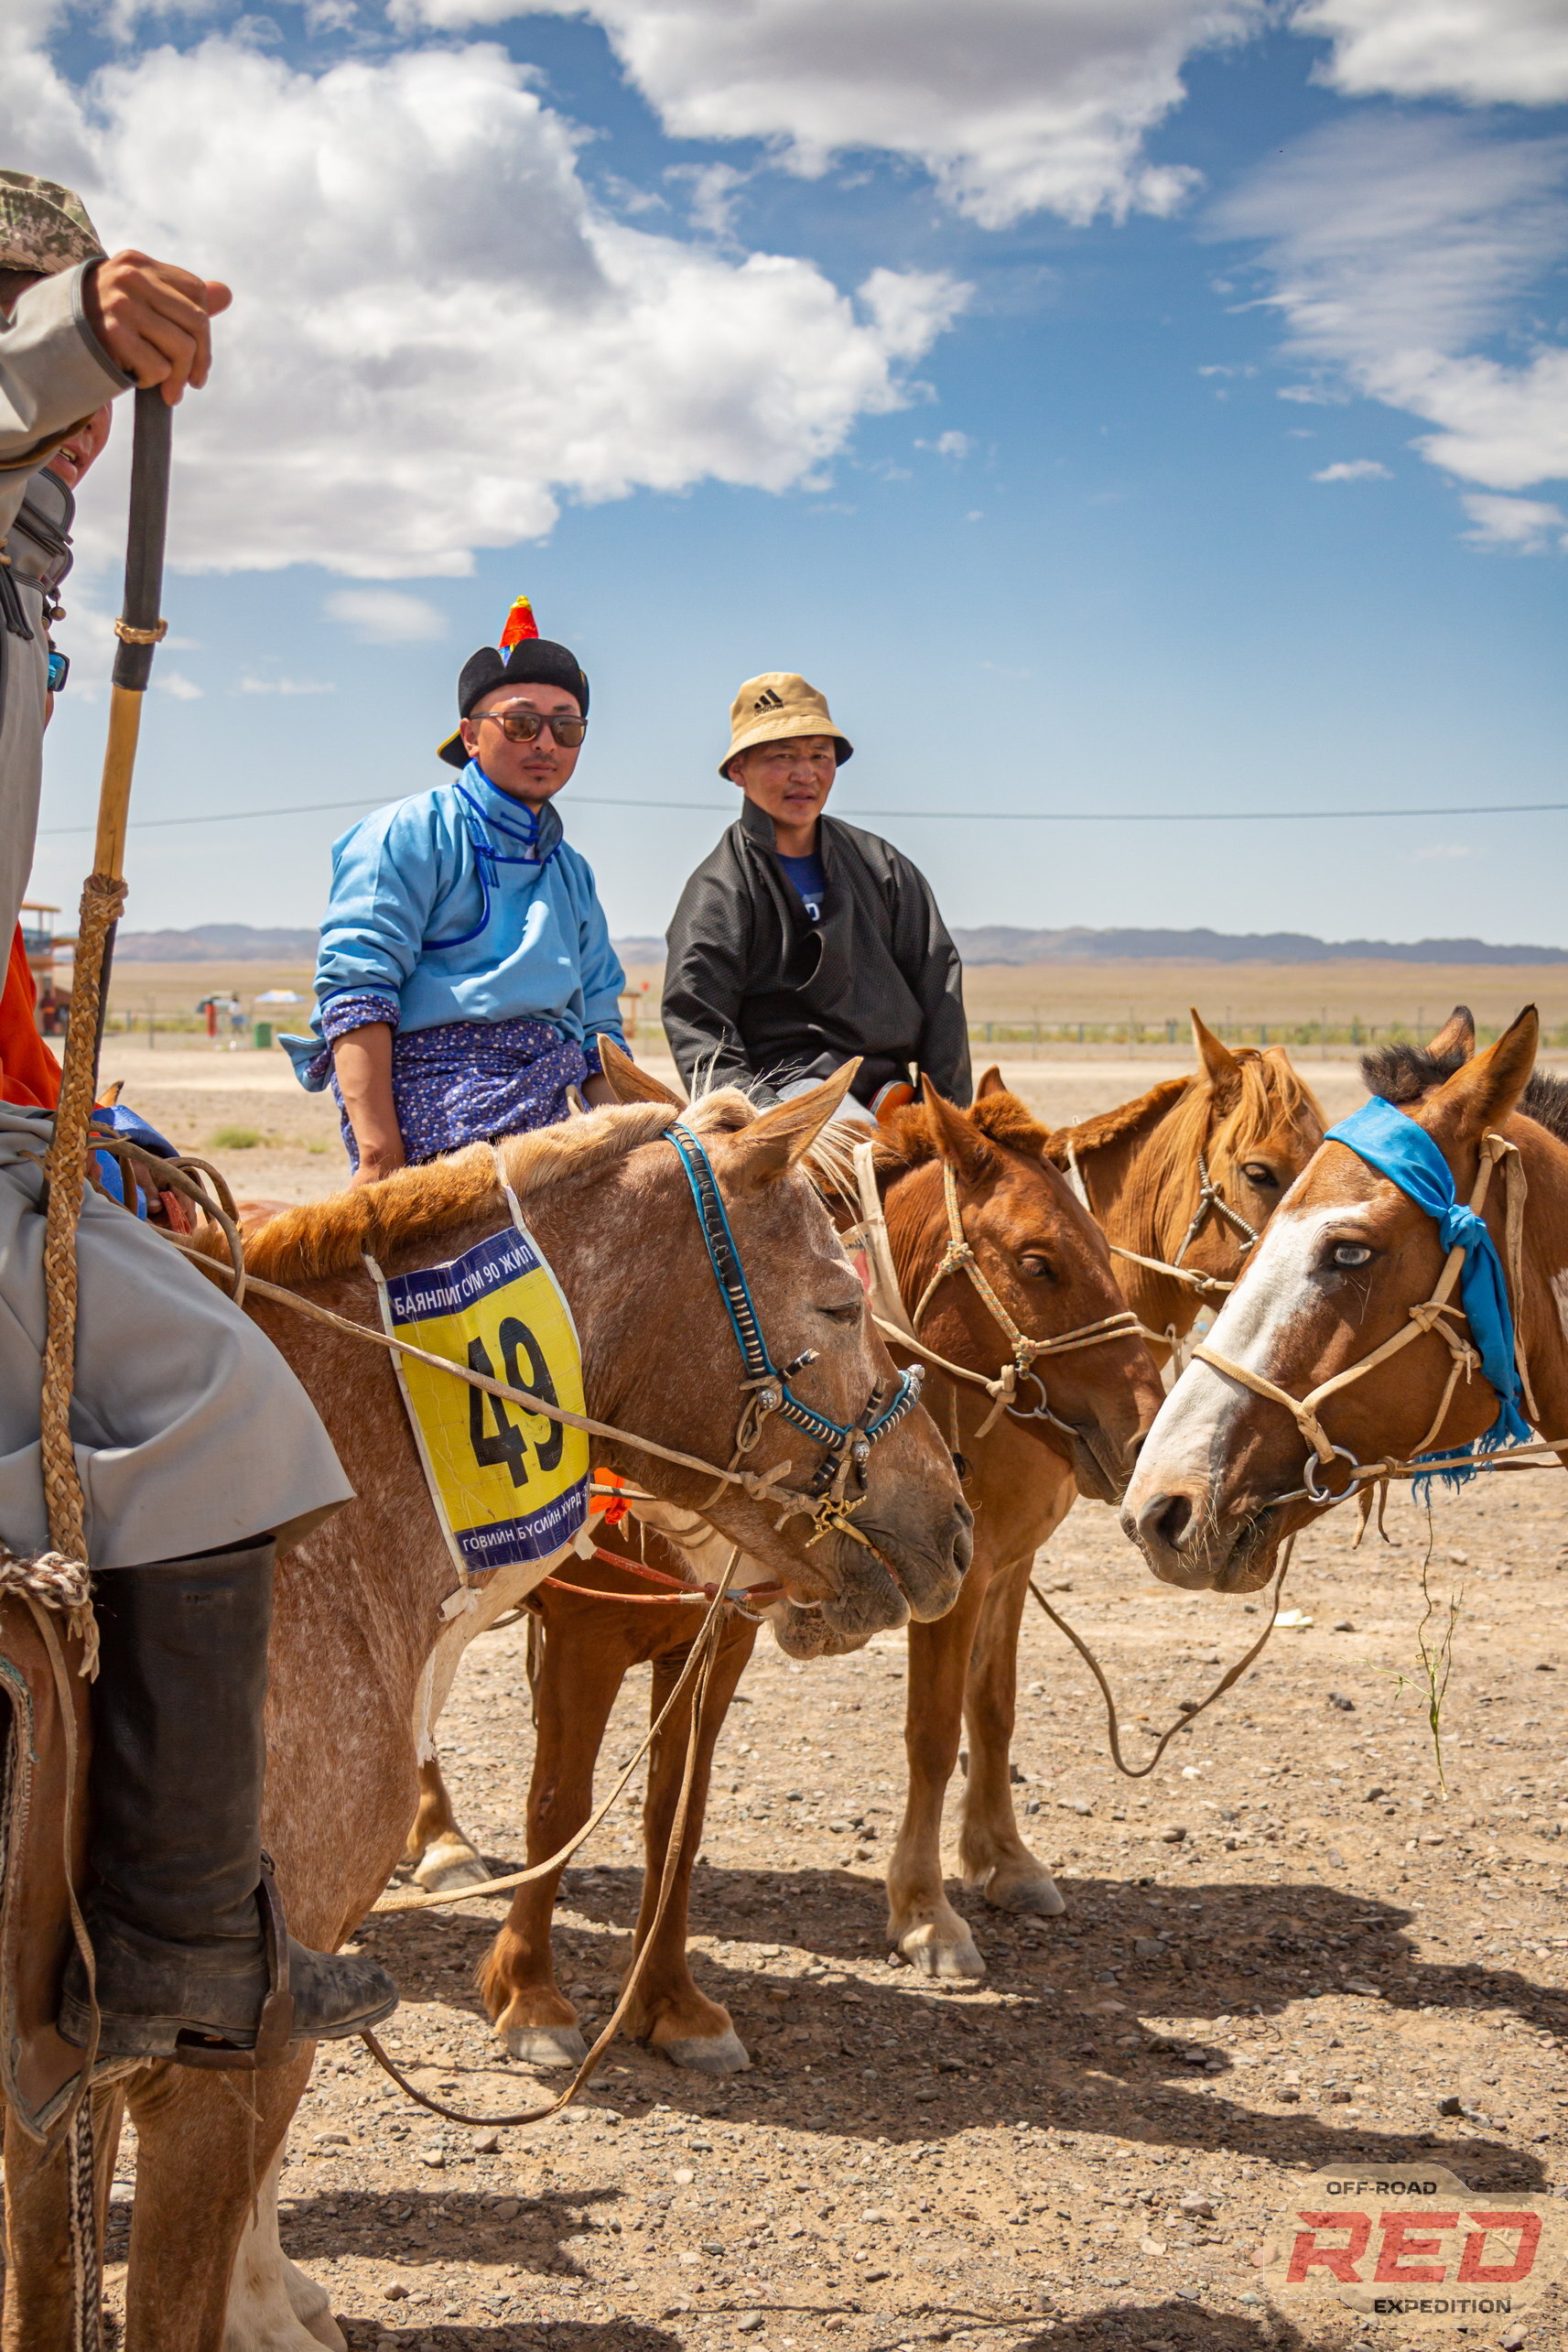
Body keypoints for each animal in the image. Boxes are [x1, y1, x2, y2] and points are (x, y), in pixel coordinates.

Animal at [416, 1077, 1165, 2069]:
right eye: (1039, 1262)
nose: (1146, 1426)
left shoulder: (720, 1643)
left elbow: (678, 1815)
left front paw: (673, 2006)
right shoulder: (584, 1640)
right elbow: (558, 1805)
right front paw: (532, 1999)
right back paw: (439, 1848)